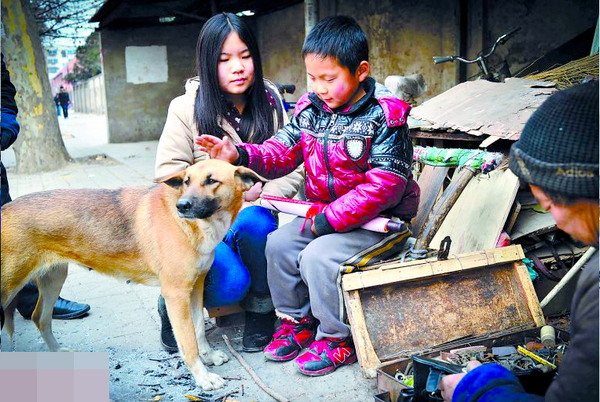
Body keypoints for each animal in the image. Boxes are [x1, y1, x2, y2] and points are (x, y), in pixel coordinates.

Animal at [0, 159, 262, 392]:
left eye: (211, 180)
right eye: (186, 181)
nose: (182, 206)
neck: (199, 226)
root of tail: (4, 209)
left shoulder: (196, 287)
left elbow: (198, 329)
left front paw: (208, 357)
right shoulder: (177, 294)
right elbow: (188, 342)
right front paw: (202, 377)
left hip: (54, 278)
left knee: (40, 318)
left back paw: (57, 351)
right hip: (11, 287)